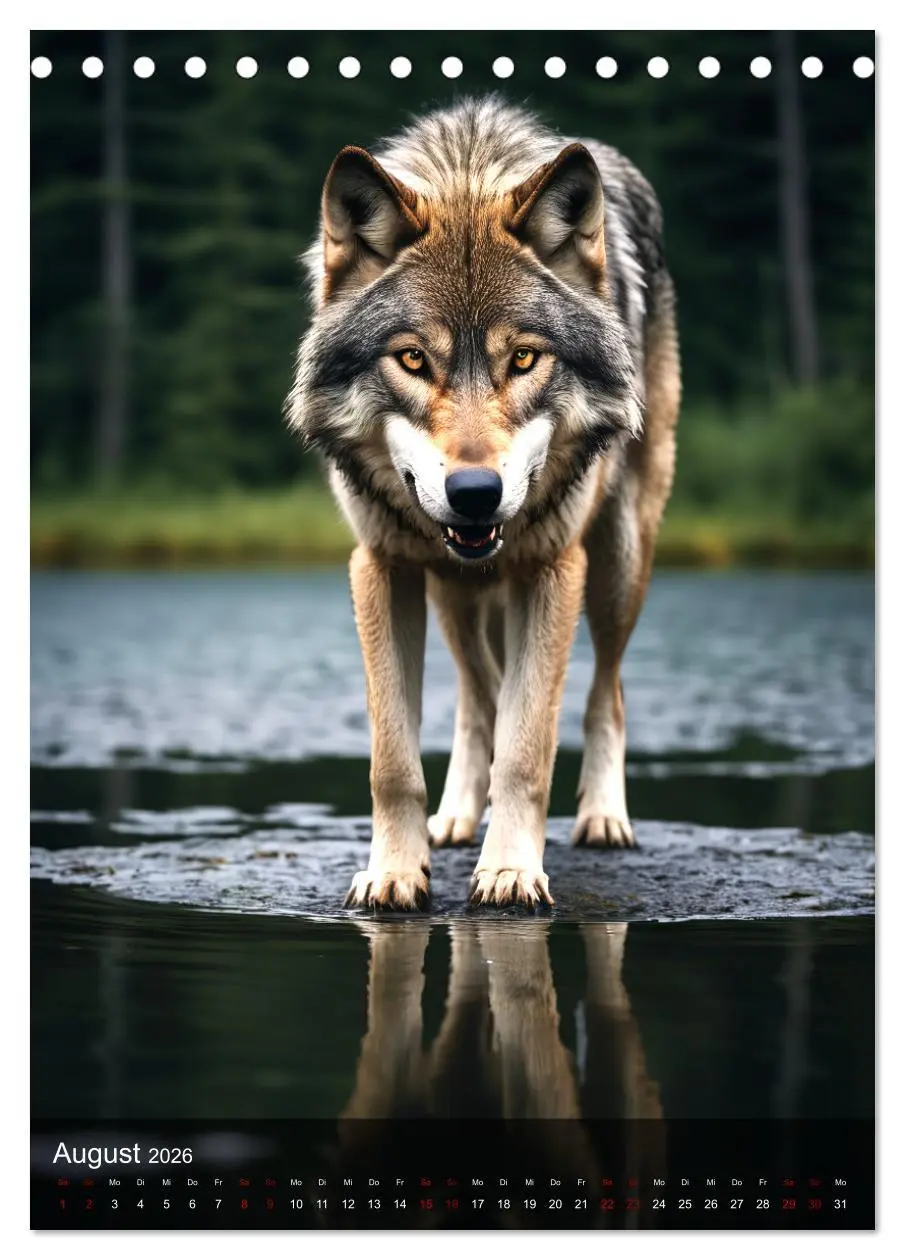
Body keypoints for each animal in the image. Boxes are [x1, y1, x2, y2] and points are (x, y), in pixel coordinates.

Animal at [286, 96, 680, 910]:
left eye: (524, 357)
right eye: (412, 359)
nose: (475, 494)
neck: (467, 172)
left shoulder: (551, 569)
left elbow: (527, 752)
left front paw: (510, 871)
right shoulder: (382, 568)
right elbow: (394, 759)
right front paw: (394, 871)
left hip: (618, 563)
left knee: (606, 691)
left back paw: (603, 818)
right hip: (455, 597)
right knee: (478, 698)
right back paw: (457, 817)